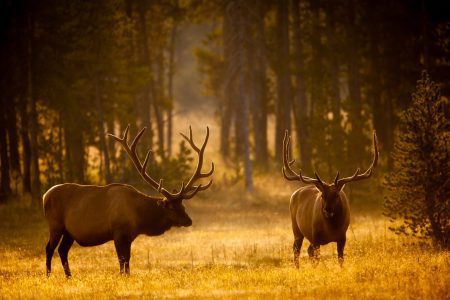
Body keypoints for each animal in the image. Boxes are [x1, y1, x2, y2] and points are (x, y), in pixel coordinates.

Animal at [42, 125, 214, 276]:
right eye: (172, 207)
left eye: (183, 206)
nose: (189, 220)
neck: (139, 217)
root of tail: (45, 196)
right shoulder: (118, 232)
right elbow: (122, 260)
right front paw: (122, 276)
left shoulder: (129, 236)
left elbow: (127, 261)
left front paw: (127, 275)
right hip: (55, 224)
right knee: (49, 248)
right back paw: (48, 275)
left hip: (69, 232)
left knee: (62, 250)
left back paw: (69, 276)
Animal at [284, 131, 378, 268]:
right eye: (323, 195)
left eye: (337, 195)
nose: (327, 210)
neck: (331, 228)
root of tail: (294, 194)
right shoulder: (315, 236)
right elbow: (317, 257)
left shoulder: (342, 236)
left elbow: (341, 259)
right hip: (296, 228)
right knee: (296, 249)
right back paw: (297, 268)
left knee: (308, 250)